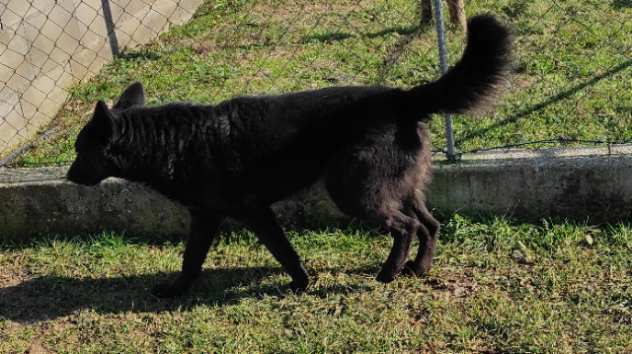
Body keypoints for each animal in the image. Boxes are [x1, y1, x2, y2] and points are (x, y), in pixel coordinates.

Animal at [66, 14, 512, 296]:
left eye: (79, 150)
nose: (68, 177)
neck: (172, 141)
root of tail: (401, 98)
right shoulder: (208, 218)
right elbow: (192, 259)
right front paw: (178, 289)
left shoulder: (254, 212)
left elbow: (283, 251)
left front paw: (300, 283)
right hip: (400, 187)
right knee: (429, 224)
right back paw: (418, 269)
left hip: (354, 192)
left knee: (405, 227)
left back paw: (388, 273)